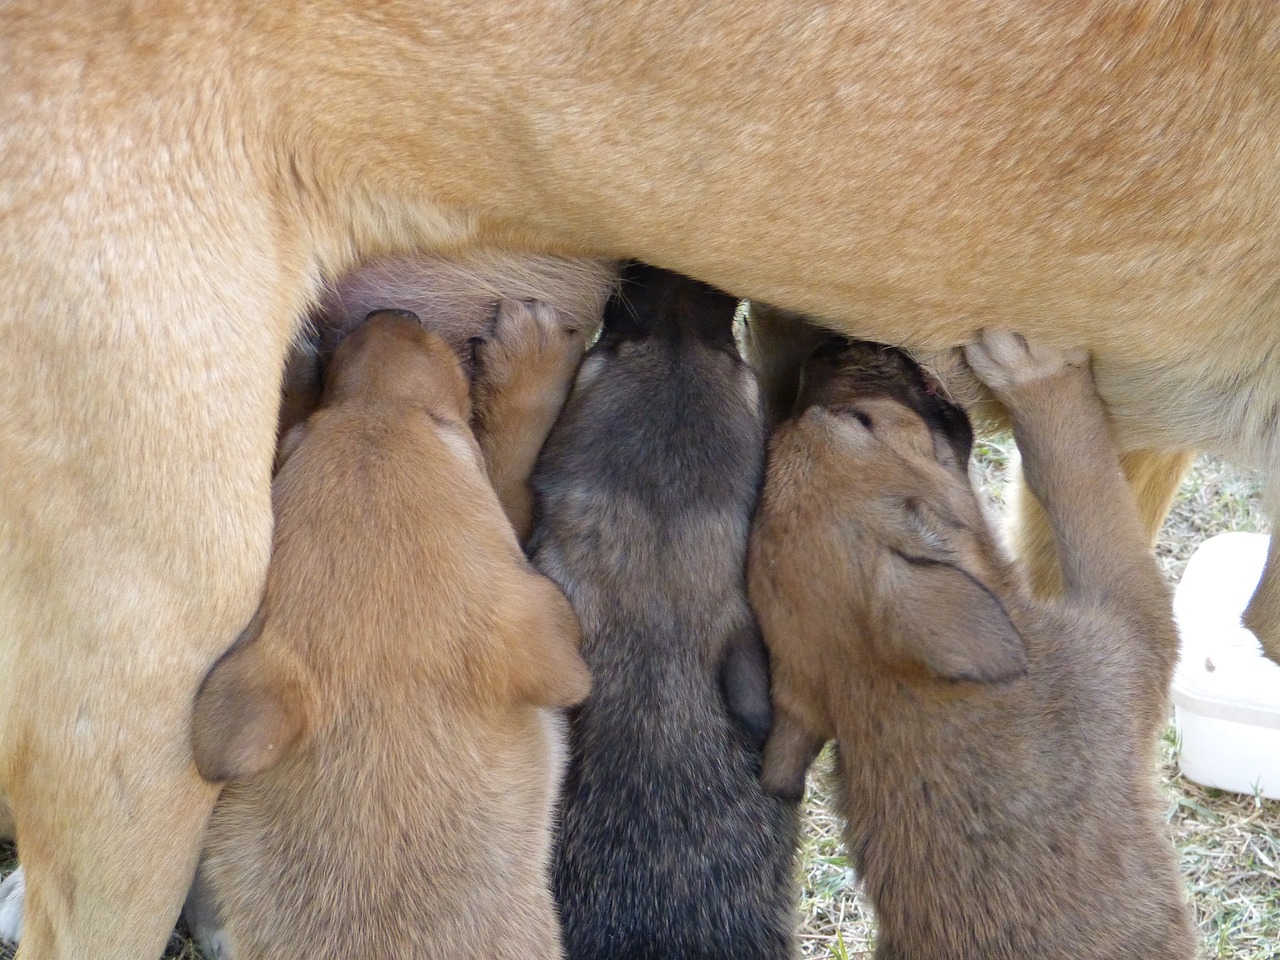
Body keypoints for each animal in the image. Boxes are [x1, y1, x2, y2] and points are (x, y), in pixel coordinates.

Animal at [747, 332, 1192, 960]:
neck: (893, 691)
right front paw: (1038, 375)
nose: (824, 349)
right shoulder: (1133, 633)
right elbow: (1080, 480)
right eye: (860, 421)